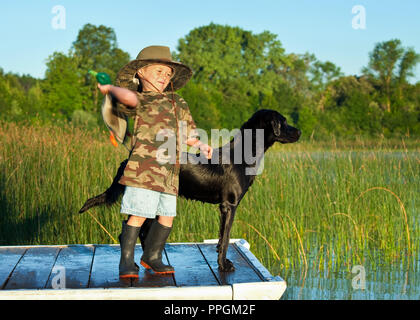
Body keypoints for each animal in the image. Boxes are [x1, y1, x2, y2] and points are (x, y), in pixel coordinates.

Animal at [79, 109, 302, 272]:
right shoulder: (229, 205)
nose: (299, 131)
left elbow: (221, 239)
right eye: (283, 122)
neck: (242, 154)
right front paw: (224, 265)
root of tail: (129, 159)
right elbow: (226, 239)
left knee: (141, 232)